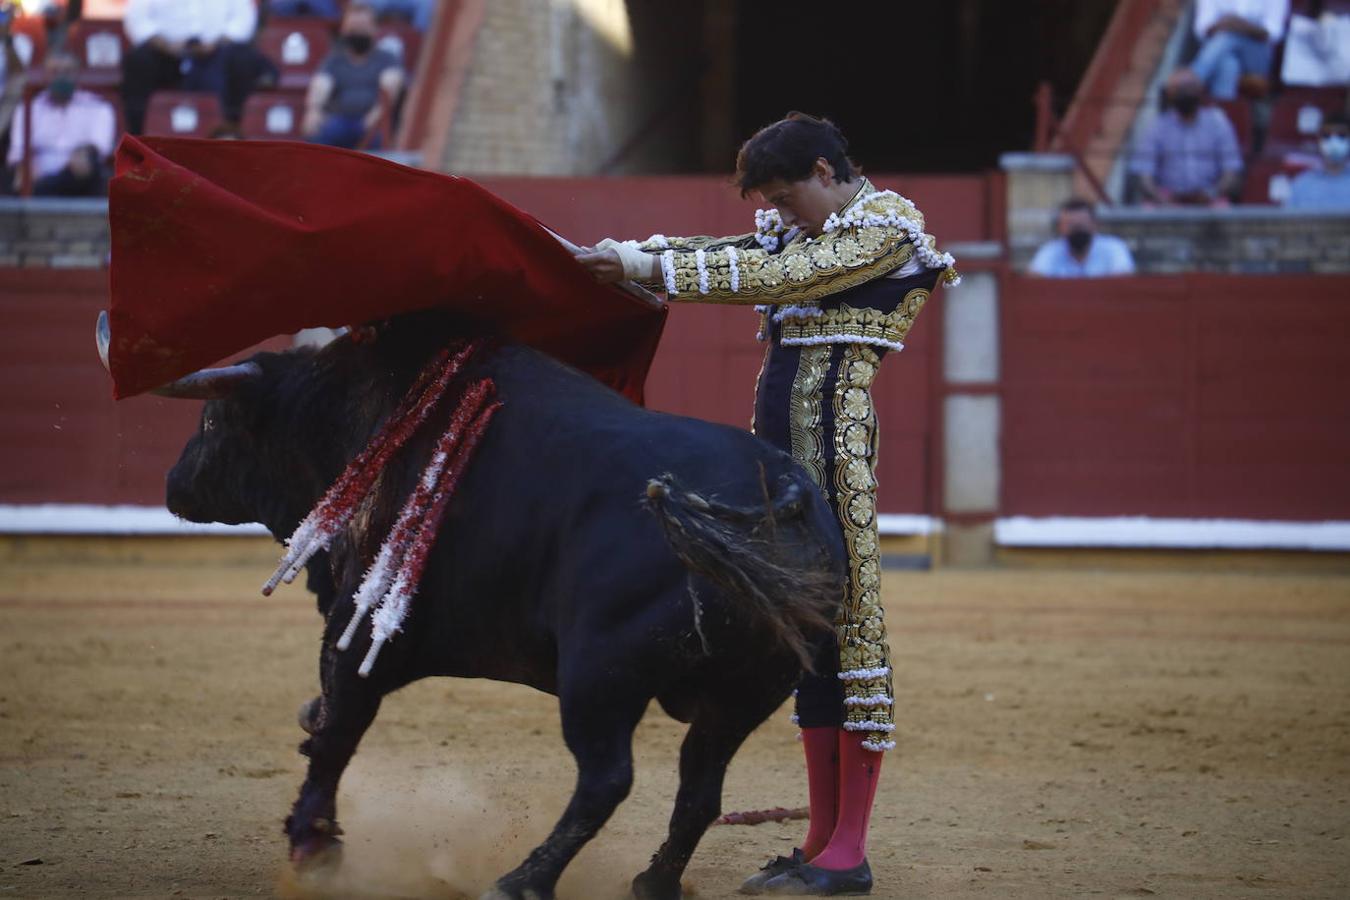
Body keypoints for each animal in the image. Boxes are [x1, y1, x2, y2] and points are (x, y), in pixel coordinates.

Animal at [166, 311, 842, 900]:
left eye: (212, 422)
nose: (174, 486)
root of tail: (781, 491)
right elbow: (330, 721)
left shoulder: (363, 626)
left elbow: (339, 731)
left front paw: (313, 848)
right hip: (748, 692)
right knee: (700, 787)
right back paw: (653, 882)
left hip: (600, 675)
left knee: (605, 780)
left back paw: (521, 881)